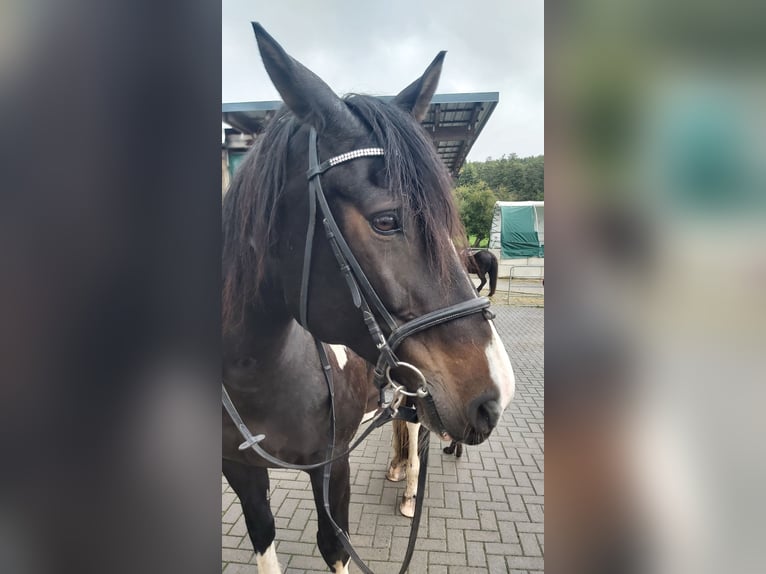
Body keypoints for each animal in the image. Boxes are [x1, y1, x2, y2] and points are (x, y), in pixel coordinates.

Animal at [222, 23, 516, 573]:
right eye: (386, 221)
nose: (495, 395)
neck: (259, 372)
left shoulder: (332, 465)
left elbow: (334, 545)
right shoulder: (239, 468)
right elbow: (262, 533)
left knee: (420, 435)